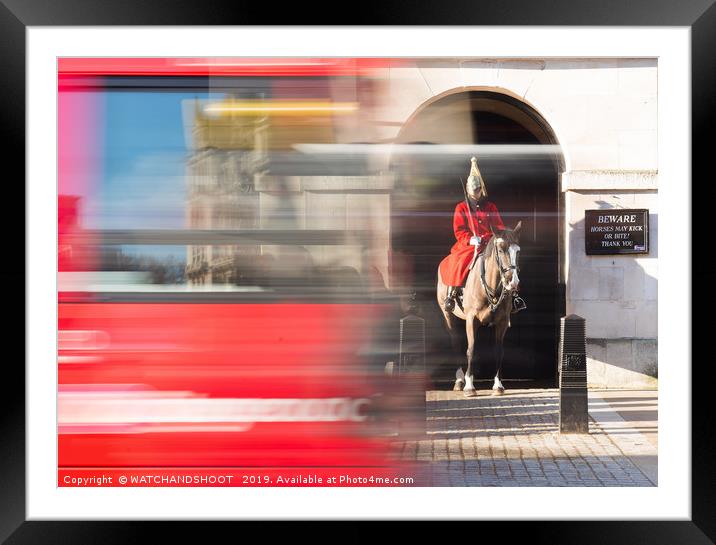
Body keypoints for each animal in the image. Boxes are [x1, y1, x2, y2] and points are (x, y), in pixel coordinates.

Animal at [434, 220, 524, 396]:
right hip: (448, 315)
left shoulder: (502, 322)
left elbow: (498, 351)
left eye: (517, 251)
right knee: (456, 343)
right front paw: (469, 386)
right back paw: (460, 379)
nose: (513, 282)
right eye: (501, 249)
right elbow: (471, 349)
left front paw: (498, 385)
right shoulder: (471, 320)